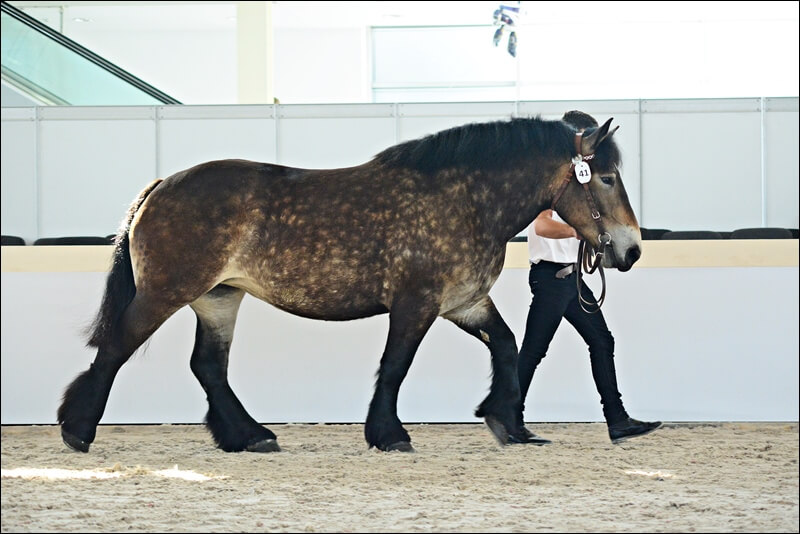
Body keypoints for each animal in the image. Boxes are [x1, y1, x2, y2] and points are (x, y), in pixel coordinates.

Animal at [56, 111, 640, 454]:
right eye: (607, 178)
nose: (631, 249)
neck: (466, 200)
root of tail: (161, 186)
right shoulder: (416, 304)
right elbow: (396, 365)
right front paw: (389, 435)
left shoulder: (464, 302)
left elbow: (507, 344)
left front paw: (506, 424)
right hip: (166, 292)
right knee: (117, 347)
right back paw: (77, 431)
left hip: (218, 297)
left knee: (208, 367)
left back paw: (249, 437)